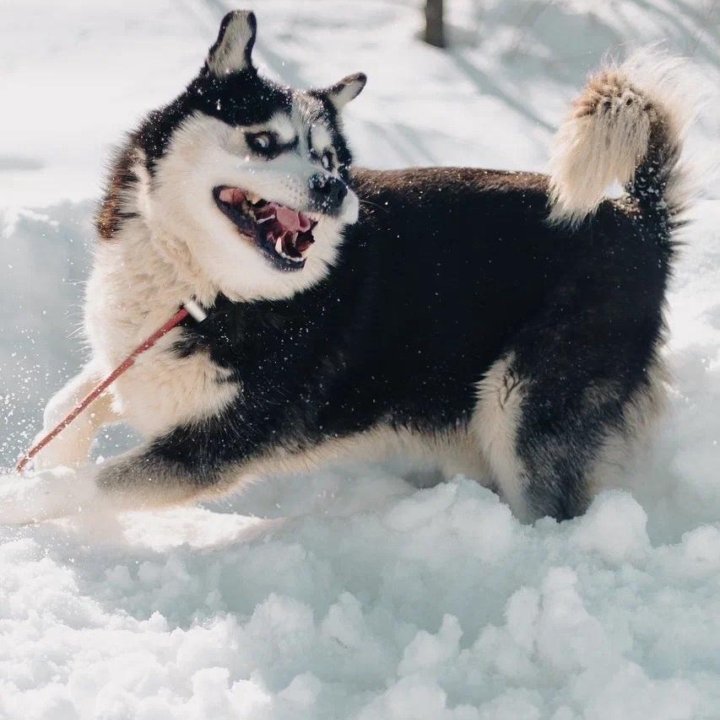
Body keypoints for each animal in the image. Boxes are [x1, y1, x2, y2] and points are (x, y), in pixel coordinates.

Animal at [1, 11, 696, 524]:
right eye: (263, 141)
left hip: (522, 411)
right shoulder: (136, 368)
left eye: (331, 159)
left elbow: (85, 486)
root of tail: (640, 218)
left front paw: (23, 499)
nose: (332, 189)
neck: (207, 292)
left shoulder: (210, 447)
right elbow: (70, 404)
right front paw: (55, 451)